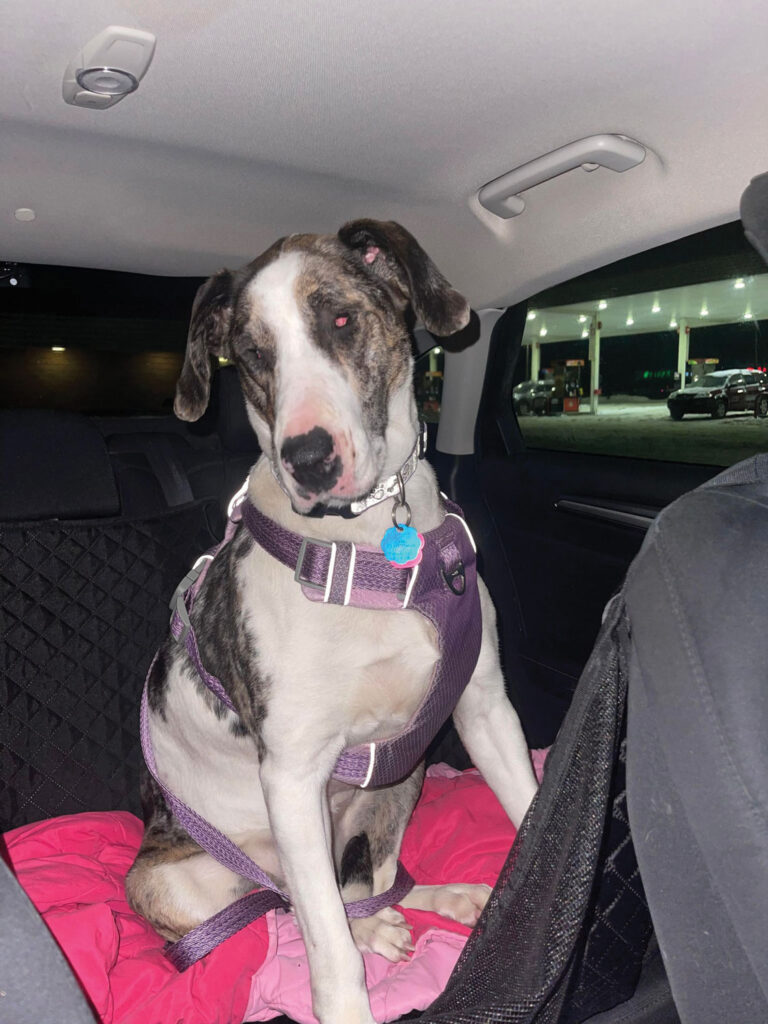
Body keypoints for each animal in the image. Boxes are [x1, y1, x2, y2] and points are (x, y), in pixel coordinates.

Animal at [126, 222, 536, 1024]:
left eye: (342, 319)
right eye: (251, 355)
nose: (309, 460)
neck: (369, 548)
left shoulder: (484, 707)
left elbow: (532, 804)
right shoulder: (290, 774)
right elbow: (328, 953)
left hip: (402, 775)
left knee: (365, 881)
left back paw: (425, 904)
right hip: (175, 878)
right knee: (299, 903)